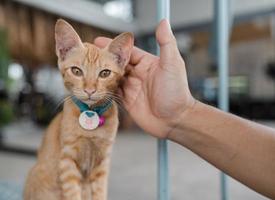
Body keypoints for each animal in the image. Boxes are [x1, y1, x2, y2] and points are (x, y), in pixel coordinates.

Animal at [24, 19, 134, 200]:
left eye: (105, 73)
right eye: (76, 71)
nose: (89, 90)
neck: (91, 113)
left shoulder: (102, 163)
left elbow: (99, 193)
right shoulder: (67, 161)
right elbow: (73, 193)